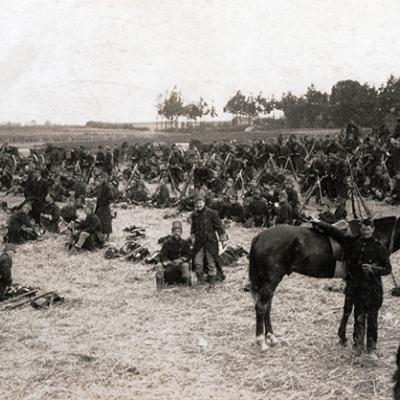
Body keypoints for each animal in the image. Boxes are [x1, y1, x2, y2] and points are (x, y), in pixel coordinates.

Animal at [248, 216, 400, 350]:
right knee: (261, 307)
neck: (365, 240)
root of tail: (259, 237)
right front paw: (343, 338)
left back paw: (271, 337)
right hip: (270, 282)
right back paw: (261, 341)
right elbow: (348, 310)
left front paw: (342, 337)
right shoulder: (353, 281)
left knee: (267, 307)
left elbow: (347, 308)